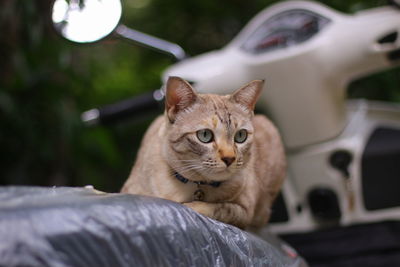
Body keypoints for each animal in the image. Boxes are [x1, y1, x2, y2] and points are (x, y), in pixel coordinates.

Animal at [120, 76, 286, 229]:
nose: (229, 158)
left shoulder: (245, 212)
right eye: (205, 135)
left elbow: (221, 208)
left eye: (240, 136)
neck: (195, 185)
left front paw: (193, 206)